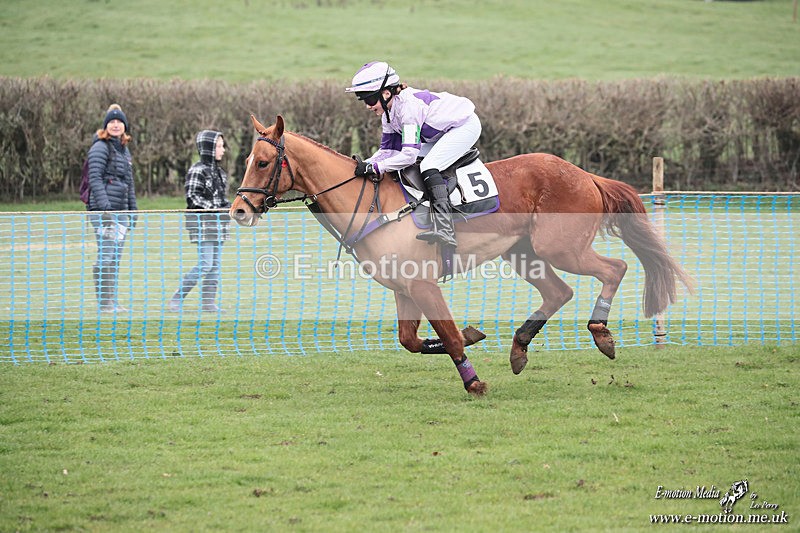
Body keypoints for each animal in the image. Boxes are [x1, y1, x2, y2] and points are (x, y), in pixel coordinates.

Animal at [230, 115, 692, 396]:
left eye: (264, 162)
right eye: (249, 160)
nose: (238, 210)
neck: (371, 206)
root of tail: (585, 174)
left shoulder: (422, 284)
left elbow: (447, 336)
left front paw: (474, 383)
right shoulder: (403, 289)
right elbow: (410, 341)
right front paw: (473, 336)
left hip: (560, 248)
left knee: (616, 267)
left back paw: (601, 332)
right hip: (523, 253)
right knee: (559, 292)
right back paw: (520, 347)